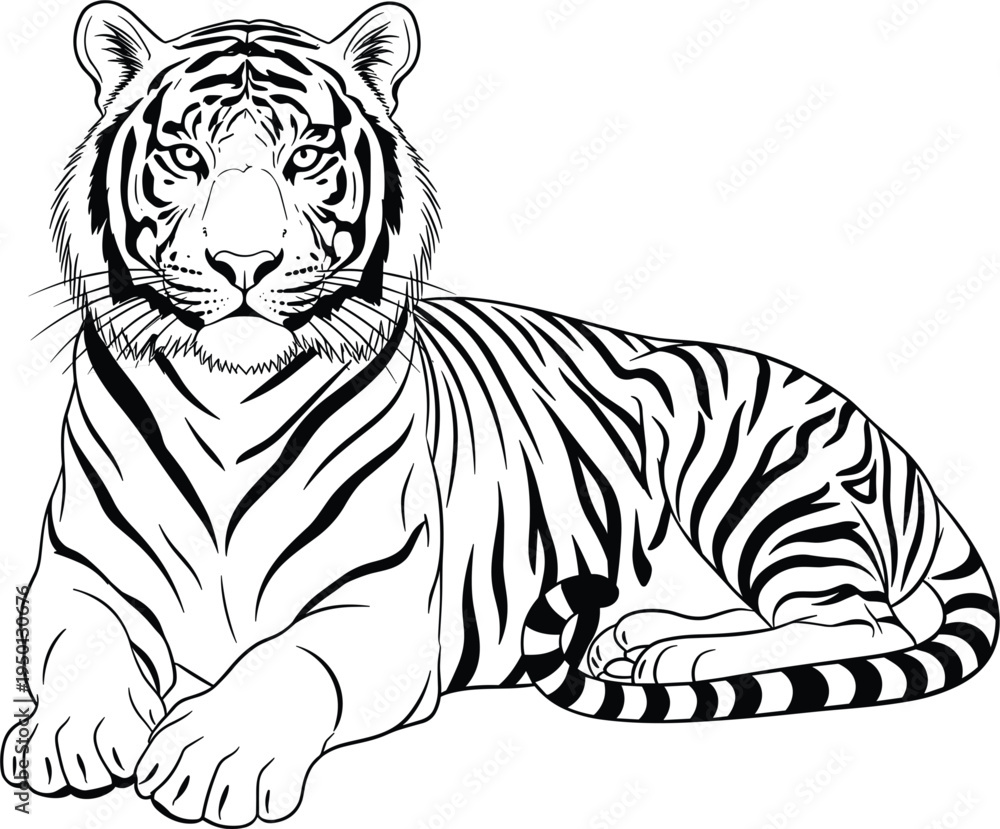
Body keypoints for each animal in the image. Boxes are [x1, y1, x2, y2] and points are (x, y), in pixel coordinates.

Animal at [2, 2, 996, 826]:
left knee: (859, 622)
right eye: (185, 157)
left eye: (307, 158)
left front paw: (213, 752)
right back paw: (643, 636)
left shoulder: (386, 606)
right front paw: (68, 735)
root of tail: (901, 454)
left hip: (765, 481)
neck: (229, 400)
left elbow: (288, 662)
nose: (244, 262)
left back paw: (683, 659)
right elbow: (77, 646)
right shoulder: (76, 573)